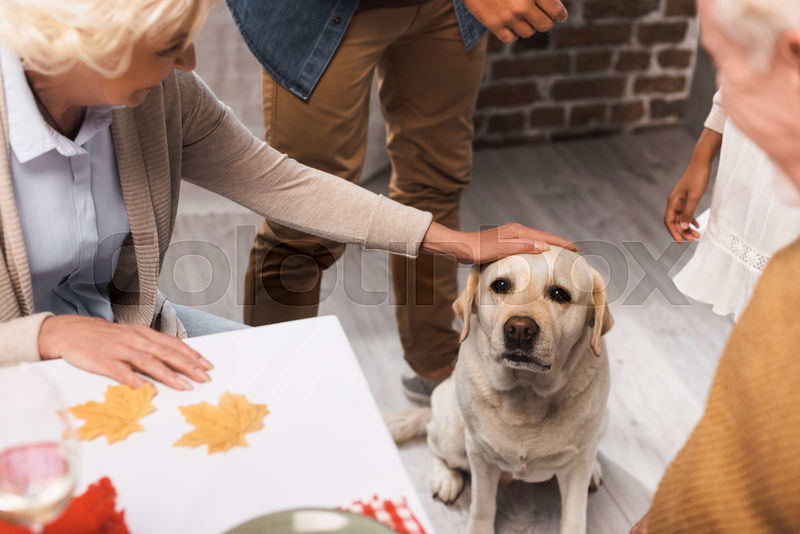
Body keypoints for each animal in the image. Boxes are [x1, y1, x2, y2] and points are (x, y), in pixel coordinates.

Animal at [388, 249, 612, 532]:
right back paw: (446, 478)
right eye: (501, 285)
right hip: (452, 432)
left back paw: (594, 469)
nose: (520, 328)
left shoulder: (576, 467)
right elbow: (482, 507)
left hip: (601, 424)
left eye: (560, 294)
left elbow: (574, 516)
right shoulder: (480, 455)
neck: (526, 393)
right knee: (432, 439)